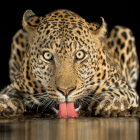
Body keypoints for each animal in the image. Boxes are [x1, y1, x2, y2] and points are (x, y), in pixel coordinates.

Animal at [0, 8, 139, 117]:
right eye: (47, 56)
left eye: (79, 55)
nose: (66, 91)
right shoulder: (18, 83)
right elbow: (10, 91)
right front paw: (7, 101)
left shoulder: (126, 87)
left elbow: (123, 92)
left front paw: (110, 101)